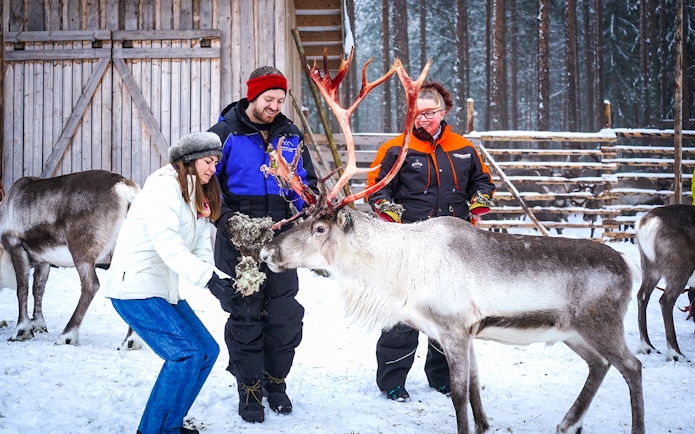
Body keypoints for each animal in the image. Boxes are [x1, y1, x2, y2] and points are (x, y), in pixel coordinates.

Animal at [0, 169, 142, 349]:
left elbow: (22, 289)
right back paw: (131, 341)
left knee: (91, 285)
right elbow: (38, 288)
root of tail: (124, 186)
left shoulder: (15, 245)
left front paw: (21, 330)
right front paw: (38, 324)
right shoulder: (44, 260)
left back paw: (67, 335)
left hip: (81, 252)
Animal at [256, 51, 645, 434]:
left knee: (632, 366)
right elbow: (473, 388)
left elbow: (459, 394)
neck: (397, 274)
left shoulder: (454, 328)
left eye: (320, 228)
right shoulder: (466, 332)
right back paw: (568, 422)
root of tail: (630, 267)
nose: (267, 250)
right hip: (573, 332)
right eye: (300, 217)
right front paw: (485, 425)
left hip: (601, 324)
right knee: (600, 365)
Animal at [634, 204, 695, 362]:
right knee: (666, 300)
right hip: (680, 268)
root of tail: (647, 221)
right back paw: (676, 354)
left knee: (642, 296)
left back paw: (647, 347)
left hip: (650, 266)